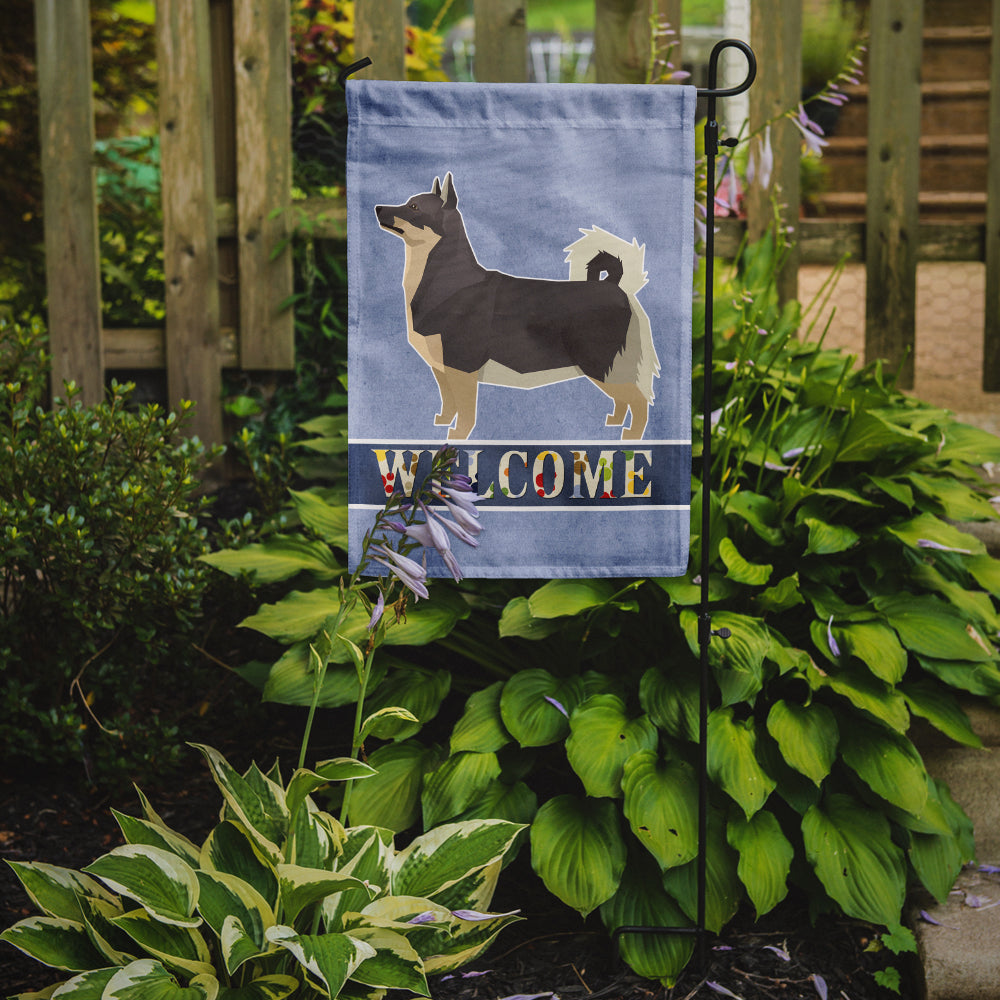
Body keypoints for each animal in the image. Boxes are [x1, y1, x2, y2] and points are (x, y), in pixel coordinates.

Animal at [376, 174, 656, 440]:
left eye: (414, 207)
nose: (377, 207)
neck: (448, 280)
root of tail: (613, 285)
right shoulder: (442, 367)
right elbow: (449, 402)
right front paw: (444, 423)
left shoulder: (462, 365)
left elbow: (465, 410)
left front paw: (457, 435)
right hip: (607, 366)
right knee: (624, 399)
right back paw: (615, 422)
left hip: (598, 362)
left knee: (639, 402)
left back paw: (631, 436)